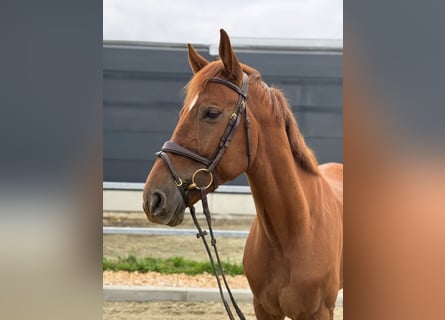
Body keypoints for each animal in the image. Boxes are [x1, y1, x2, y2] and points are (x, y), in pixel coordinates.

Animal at [143, 29, 344, 318]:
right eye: (182, 112)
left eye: (211, 112)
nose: (153, 198)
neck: (294, 230)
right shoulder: (264, 309)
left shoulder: (319, 312)